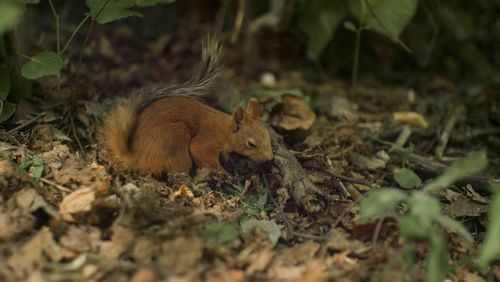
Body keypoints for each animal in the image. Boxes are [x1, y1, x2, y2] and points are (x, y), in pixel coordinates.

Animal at [100, 36, 274, 174]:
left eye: (267, 134)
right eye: (251, 144)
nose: (270, 159)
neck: (224, 129)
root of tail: (136, 158)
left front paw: (226, 159)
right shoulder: (207, 141)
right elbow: (201, 153)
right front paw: (223, 173)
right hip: (175, 137)